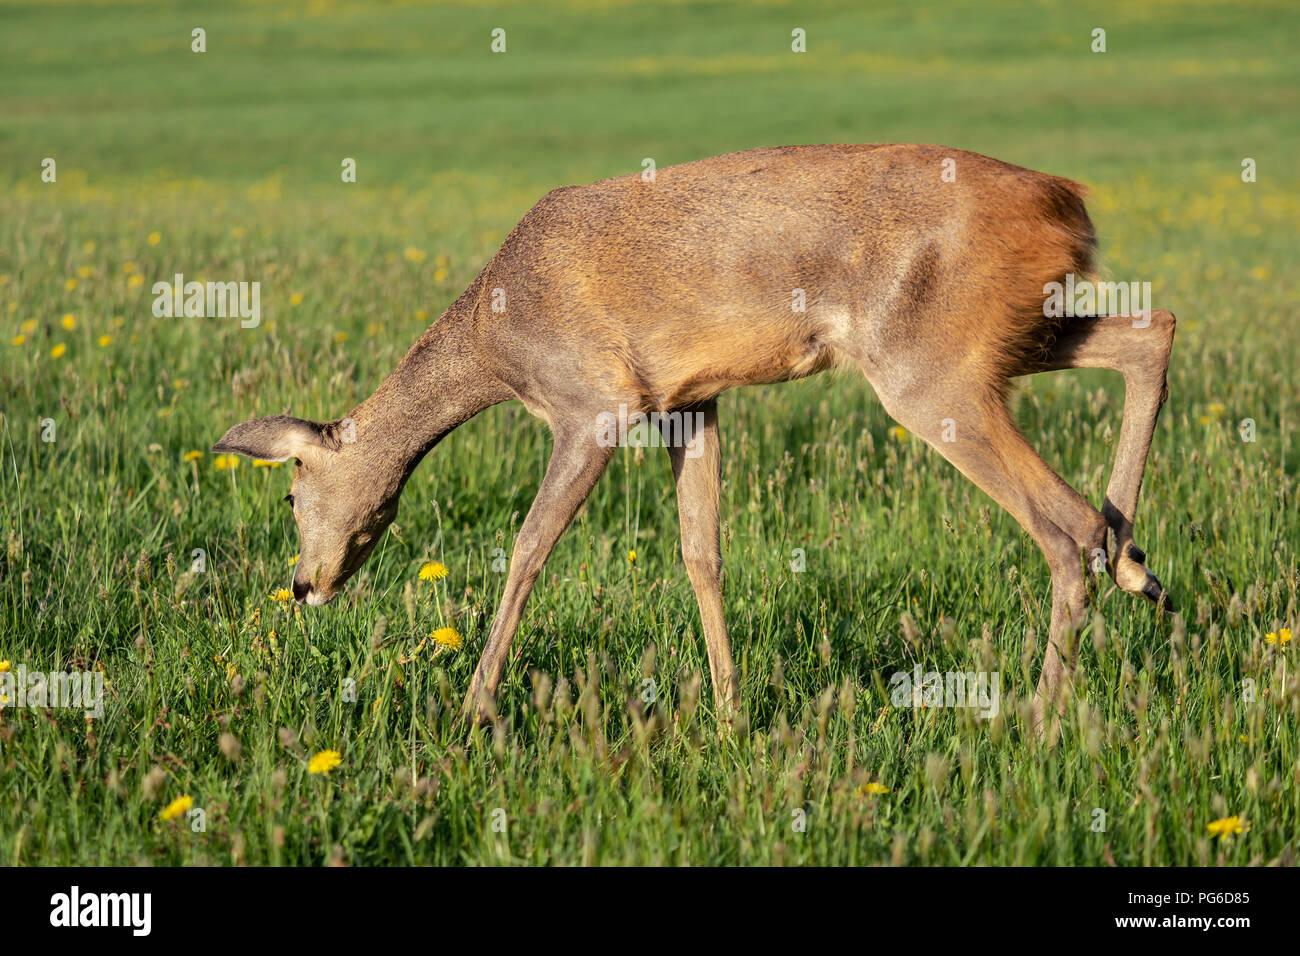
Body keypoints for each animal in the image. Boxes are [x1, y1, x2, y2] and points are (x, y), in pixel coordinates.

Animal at [213, 144, 1176, 736]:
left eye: (291, 491)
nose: (302, 585)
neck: (495, 338)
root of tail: (1065, 202)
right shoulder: (692, 400)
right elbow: (701, 552)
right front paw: (728, 714)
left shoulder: (593, 404)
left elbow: (529, 547)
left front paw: (474, 709)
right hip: (1006, 333)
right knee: (1151, 331)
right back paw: (1141, 567)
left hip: (927, 367)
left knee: (1064, 524)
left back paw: (1041, 719)